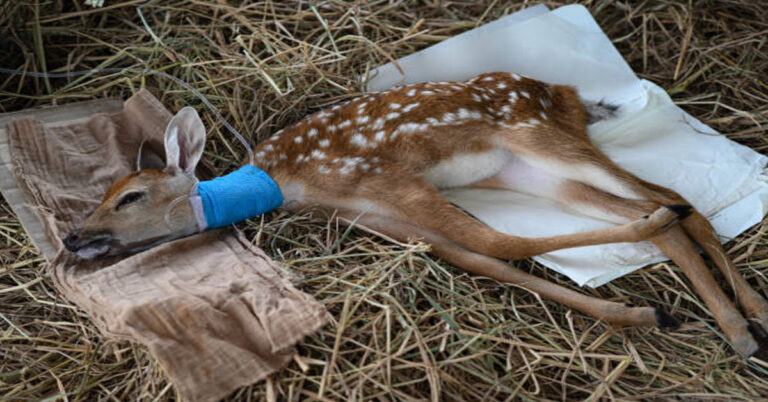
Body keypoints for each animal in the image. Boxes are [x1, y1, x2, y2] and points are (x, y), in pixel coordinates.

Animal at [62, 72, 768, 357]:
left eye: (129, 196)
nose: (73, 237)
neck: (292, 183)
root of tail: (566, 92)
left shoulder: (390, 179)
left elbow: (499, 244)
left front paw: (651, 308)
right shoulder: (382, 217)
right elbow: (481, 258)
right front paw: (641, 314)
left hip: (538, 135)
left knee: (672, 200)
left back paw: (742, 323)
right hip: (522, 169)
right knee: (669, 203)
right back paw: (742, 321)